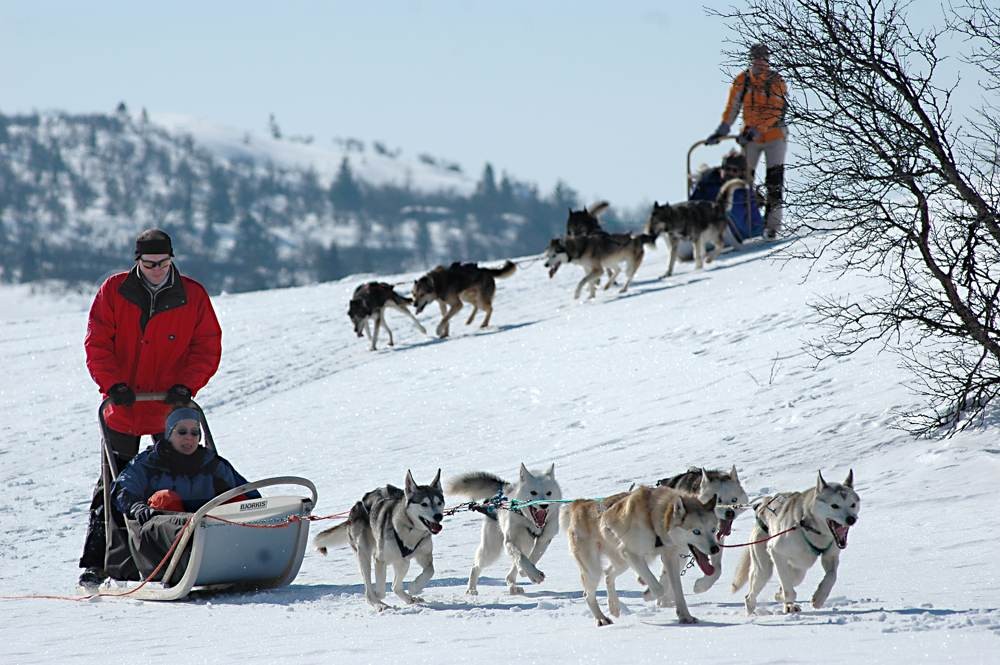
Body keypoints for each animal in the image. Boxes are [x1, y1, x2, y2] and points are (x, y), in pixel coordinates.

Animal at [314, 470, 444, 608]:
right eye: (424, 504)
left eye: (439, 503)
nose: (438, 516)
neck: (410, 529)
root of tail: (356, 506)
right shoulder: (379, 559)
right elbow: (380, 591)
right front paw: (379, 598)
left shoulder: (424, 555)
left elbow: (430, 570)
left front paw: (415, 587)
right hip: (364, 555)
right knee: (369, 591)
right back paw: (379, 604)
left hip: (403, 562)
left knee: (395, 587)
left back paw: (409, 599)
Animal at [448, 462, 564, 596]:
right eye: (533, 492)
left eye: (549, 493)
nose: (544, 505)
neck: (529, 521)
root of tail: (503, 488)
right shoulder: (509, 541)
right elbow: (521, 558)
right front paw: (533, 574)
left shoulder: (545, 539)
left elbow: (533, 558)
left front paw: (528, 573)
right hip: (492, 550)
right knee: (476, 566)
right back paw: (471, 589)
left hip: (526, 543)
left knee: (510, 573)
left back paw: (514, 586)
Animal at [564, 486, 720, 624]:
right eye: (696, 531)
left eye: (713, 529)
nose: (715, 549)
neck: (654, 520)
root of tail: (581, 504)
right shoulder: (631, 554)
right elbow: (659, 588)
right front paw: (649, 594)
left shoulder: (670, 557)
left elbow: (676, 589)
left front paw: (685, 616)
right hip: (595, 570)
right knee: (588, 594)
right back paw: (601, 618)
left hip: (622, 563)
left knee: (608, 575)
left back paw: (614, 606)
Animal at [732, 470, 864, 616]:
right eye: (834, 505)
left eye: (853, 504)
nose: (851, 519)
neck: (811, 529)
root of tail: (762, 507)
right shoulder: (776, 552)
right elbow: (788, 589)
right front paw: (787, 600)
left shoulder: (830, 556)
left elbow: (831, 576)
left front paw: (819, 598)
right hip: (763, 569)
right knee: (753, 594)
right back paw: (753, 611)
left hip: (799, 570)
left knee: (791, 581)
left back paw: (783, 600)